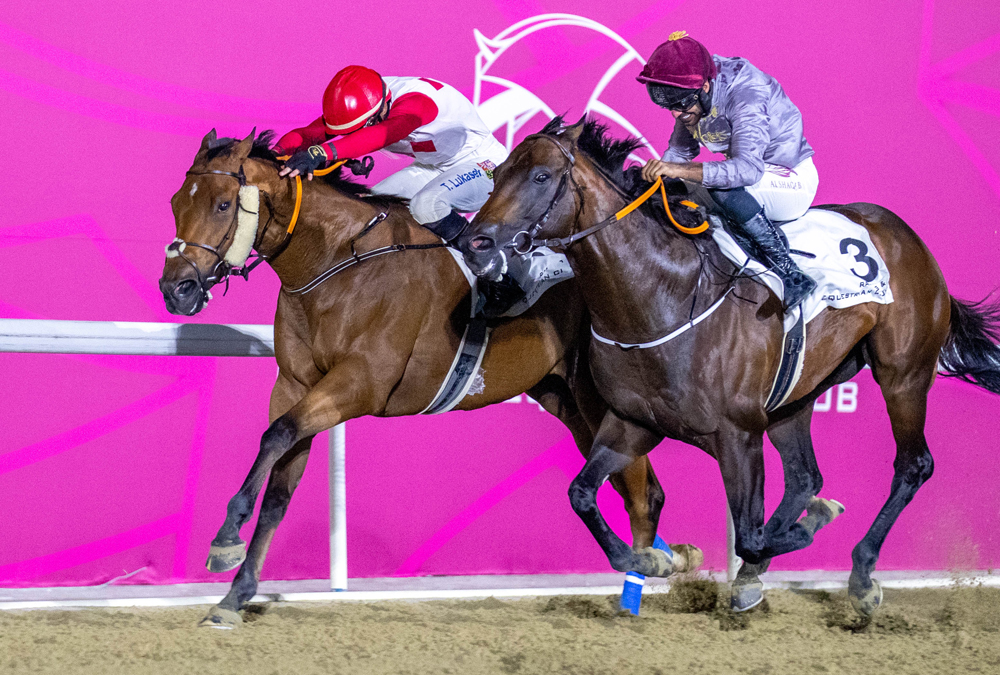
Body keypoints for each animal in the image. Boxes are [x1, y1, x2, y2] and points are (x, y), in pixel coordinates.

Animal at [160, 131, 700, 628]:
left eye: (223, 203)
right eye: (175, 202)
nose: (175, 289)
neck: (335, 262)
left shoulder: (359, 384)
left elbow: (277, 435)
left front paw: (224, 540)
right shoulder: (295, 385)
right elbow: (278, 485)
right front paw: (234, 596)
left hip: (600, 397)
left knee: (641, 494)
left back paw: (640, 582)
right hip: (564, 396)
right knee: (637, 486)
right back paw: (660, 563)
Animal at [458, 117, 1000, 616]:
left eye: (541, 177)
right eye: (498, 173)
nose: (475, 242)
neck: (662, 296)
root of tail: (905, 235)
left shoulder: (738, 432)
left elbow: (750, 535)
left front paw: (807, 528)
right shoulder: (632, 422)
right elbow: (582, 494)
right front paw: (656, 559)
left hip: (902, 374)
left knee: (913, 465)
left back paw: (862, 576)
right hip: (794, 397)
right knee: (804, 477)